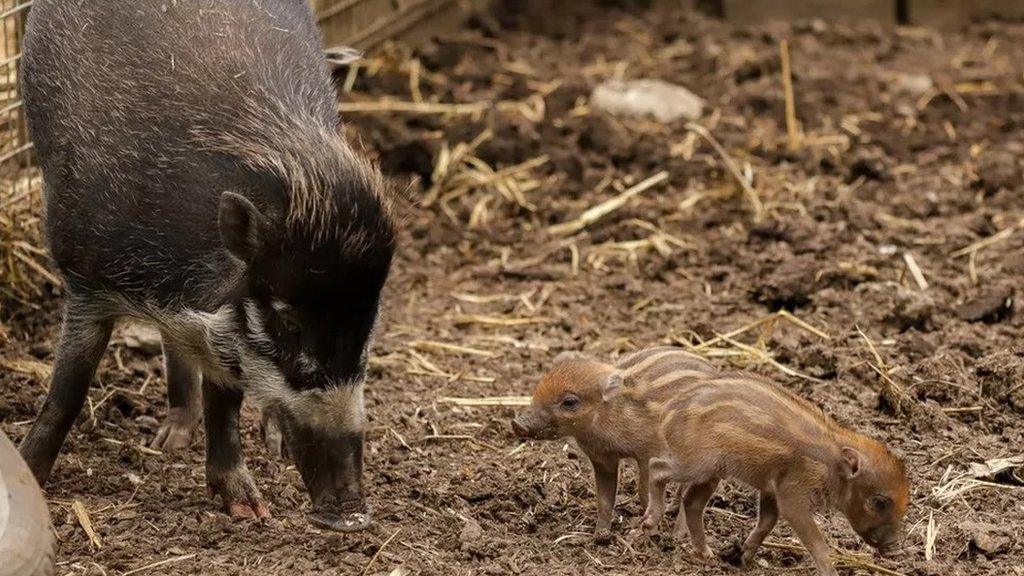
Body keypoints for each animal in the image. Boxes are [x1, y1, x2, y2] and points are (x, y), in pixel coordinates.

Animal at [512, 348, 712, 541]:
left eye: (569, 402)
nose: (517, 424)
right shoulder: (602, 459)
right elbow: (604, 498)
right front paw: (600, 535)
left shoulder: (648, 455)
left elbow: (644, 493)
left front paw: (651, 535)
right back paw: (672, 510)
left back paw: (678, 536)